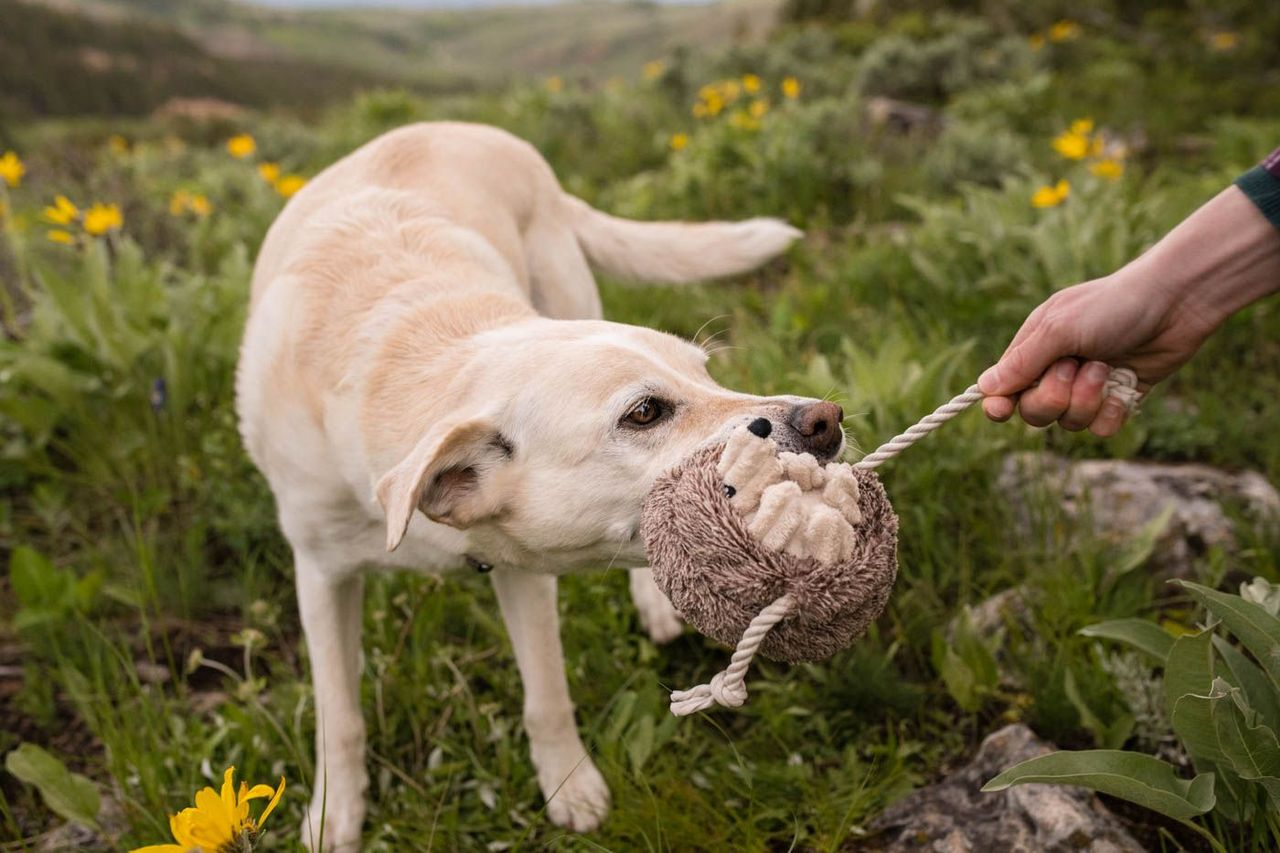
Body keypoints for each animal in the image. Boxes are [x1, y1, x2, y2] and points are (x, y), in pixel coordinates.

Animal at [235, 121, 844, 845]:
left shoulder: (521, 569)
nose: (826, 421)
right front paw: (335, 815)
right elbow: (339, 717)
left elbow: (547, 695)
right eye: (644, 412)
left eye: (707, 374)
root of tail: (468, 128)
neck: (405, 349)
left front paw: (568, 784)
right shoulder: (321, 573)